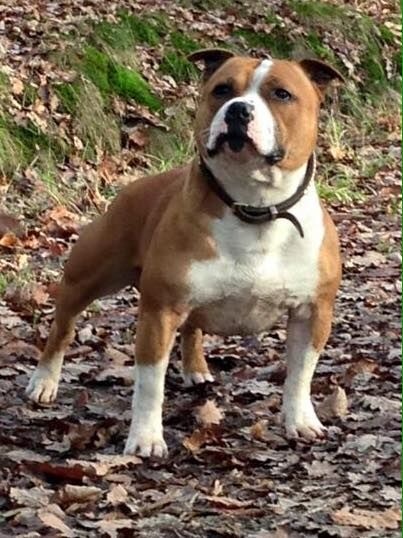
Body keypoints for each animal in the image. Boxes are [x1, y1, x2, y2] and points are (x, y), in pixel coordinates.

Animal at [26, 49, 343, 457]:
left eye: (282, 94)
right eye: (222, 90)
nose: (238, 110)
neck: (254, 206)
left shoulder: (312, 312)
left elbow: (301, 374)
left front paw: (301, 420)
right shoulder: (159, 312)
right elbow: (150, 384)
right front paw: (146, 438)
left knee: (193, 326)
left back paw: (196, 369)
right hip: (88, 276)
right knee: (63, 326)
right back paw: (44, 381)